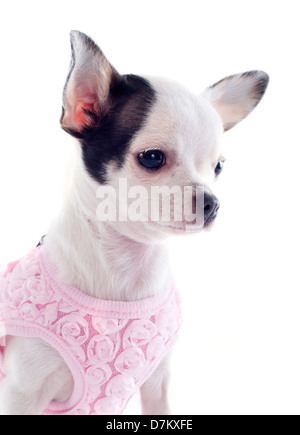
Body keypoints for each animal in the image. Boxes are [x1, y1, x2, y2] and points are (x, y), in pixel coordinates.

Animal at [0, 31, 268, 416]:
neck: (127, 269)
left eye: (218, 167)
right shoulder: (21, 393)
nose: (212, 203)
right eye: (152, 158)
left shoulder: (158, 382)